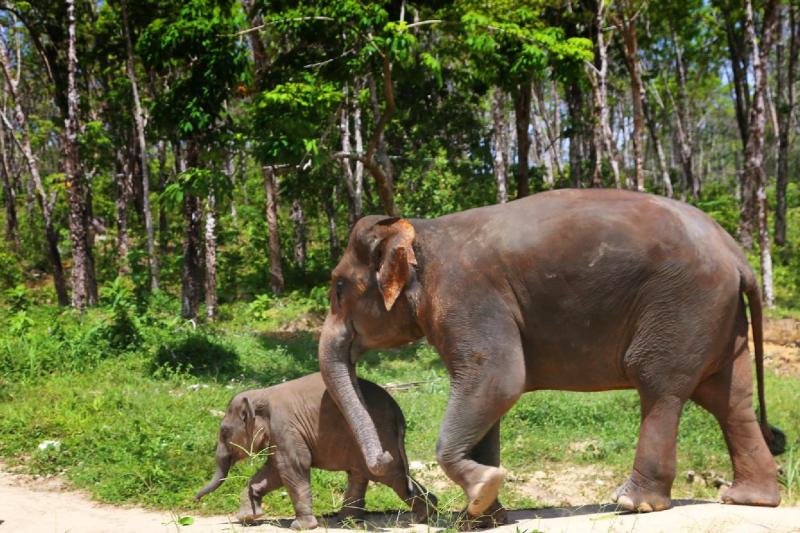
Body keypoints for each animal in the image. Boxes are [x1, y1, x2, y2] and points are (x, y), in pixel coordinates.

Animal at [195, 372, 437, 530]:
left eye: (224, 432)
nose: (195, 498)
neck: (260, 395)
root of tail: (398, 413)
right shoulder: (280, 435)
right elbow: (273, 472)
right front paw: (248, 518)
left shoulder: (285, 427)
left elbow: (292, 467)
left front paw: (300, 527)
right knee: (361, 474)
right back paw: (350, 522)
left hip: (381, 437)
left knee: (392, 475)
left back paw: (421, 517)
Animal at [318, 189, 785, 524]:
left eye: (337, 287)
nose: (385, 460)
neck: (421, 232)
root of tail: (737, 255)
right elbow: (488, 396)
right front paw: (479, 518)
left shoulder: (468, 297)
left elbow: (499, 380)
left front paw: (482, 491)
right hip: (719, 318)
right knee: (730, 399)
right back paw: (749, 499)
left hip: (684, 308)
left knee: (660, 388)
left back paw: (632, 504)